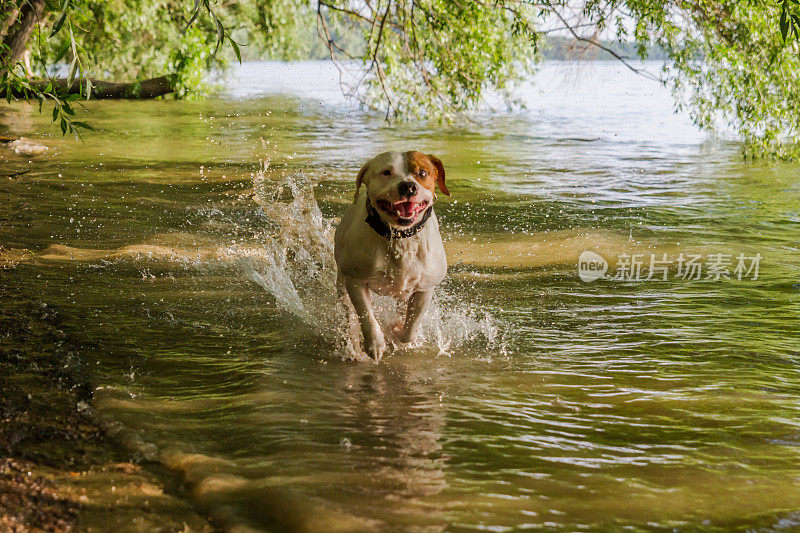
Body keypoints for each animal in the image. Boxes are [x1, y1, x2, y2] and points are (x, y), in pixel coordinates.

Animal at [332, 149, 450, 362]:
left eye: (422, 173)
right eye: (386, 172)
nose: (408, 186)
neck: (399, 237)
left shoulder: (425, 287)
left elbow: (411, 326)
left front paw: (396, 330)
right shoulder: (355, 280)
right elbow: (365, 314)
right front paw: (375, 344)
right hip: (342, 282)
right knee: (348, 311)